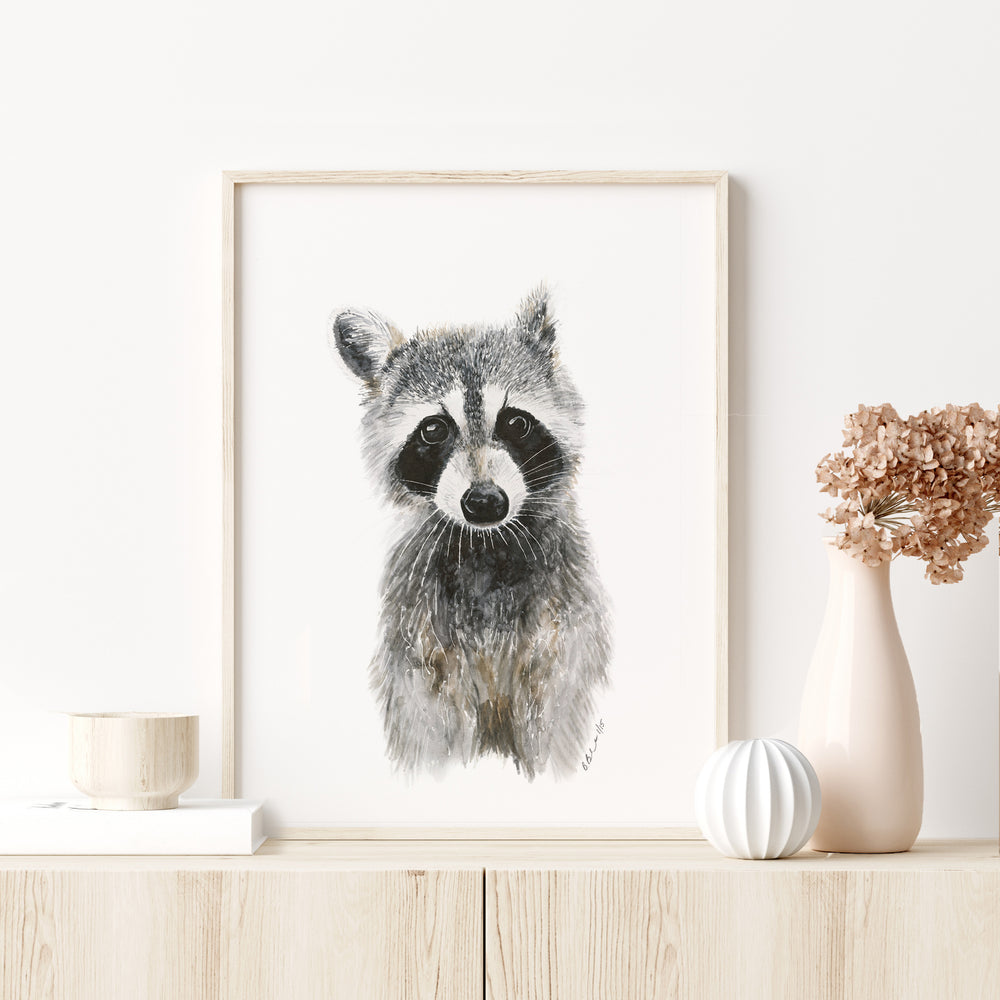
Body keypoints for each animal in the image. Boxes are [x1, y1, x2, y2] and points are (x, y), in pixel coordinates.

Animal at [330, 287, 612, 780]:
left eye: (516, 422)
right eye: (433, 429)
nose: (484, 502)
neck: (486, 546)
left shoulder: (565, 627)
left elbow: (559, 710)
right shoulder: (417, 635)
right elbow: (428, 726)